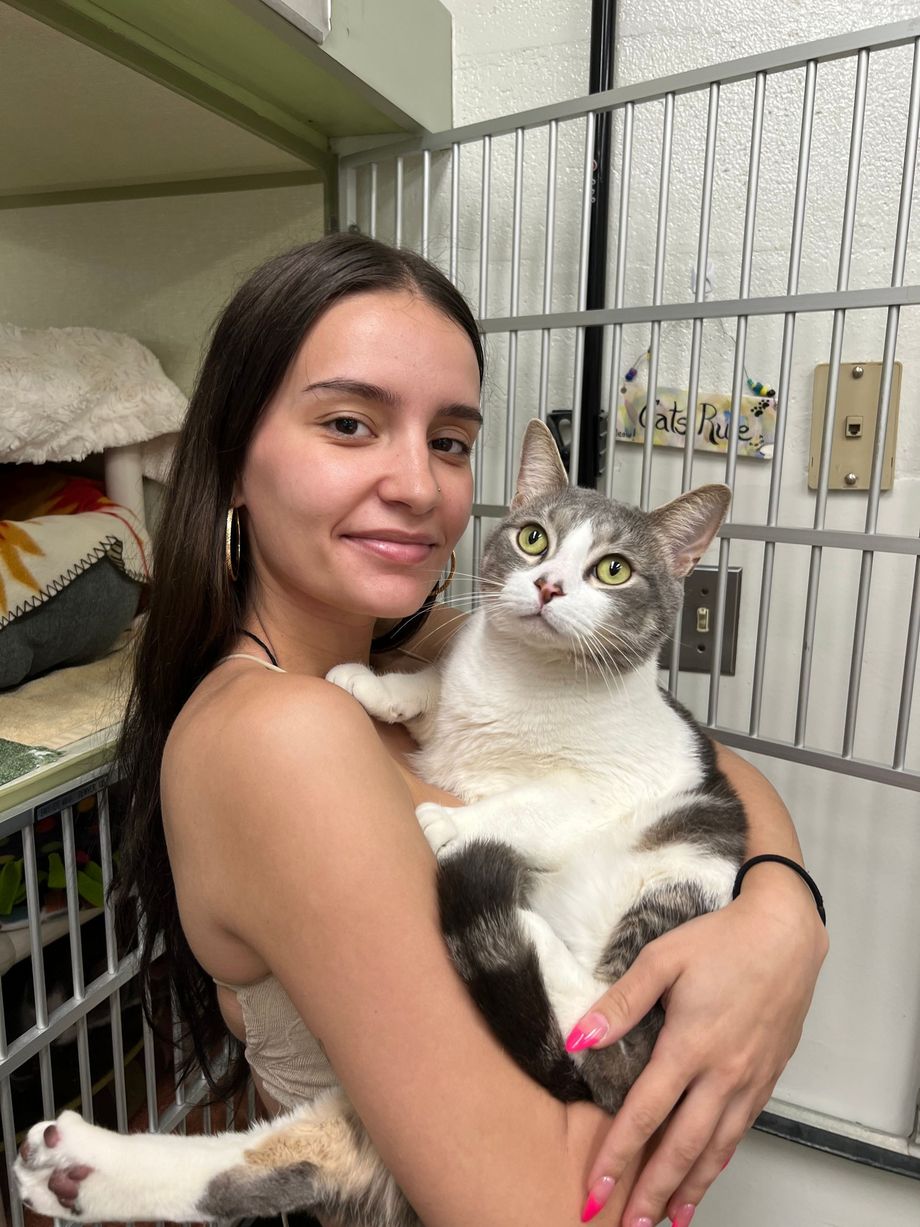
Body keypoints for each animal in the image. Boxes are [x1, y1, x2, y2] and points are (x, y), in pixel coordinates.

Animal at [14, 419, 750, 1227]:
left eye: (614, 569)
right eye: (533, 538)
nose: (549, 584)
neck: (525, 684)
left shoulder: (620, 779)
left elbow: (540, 798)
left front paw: (450, 822)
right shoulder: (460, 691)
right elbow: (435, 687)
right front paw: (374, 684)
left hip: (685, 862)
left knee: (606, 1037)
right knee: (275, 1156)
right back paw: (78, 1166)